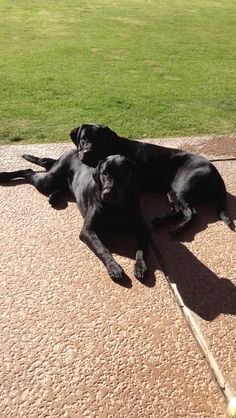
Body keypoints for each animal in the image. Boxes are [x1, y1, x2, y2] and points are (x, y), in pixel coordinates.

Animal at [0, 152, 149, 282]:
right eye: (104, 173)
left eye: (123, 174)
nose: (106, 193)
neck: (116, 206)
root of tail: (70, 151)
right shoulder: (87, 231)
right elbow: (102, 249)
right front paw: (114, 267)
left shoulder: (143, 228)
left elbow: (142, 249)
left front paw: (140, 266)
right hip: (47, 182)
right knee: (28, 171)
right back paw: (4, 175)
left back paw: (54, 197)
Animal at [68, 123, 234, 235]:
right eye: (83, 139)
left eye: (99, 141)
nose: (87, 152)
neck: (114, 145)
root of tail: (216, 171)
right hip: (171, 192)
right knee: (179, 210)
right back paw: (161, 220)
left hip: (181, 186)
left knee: (191, 212)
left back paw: (178, 229)